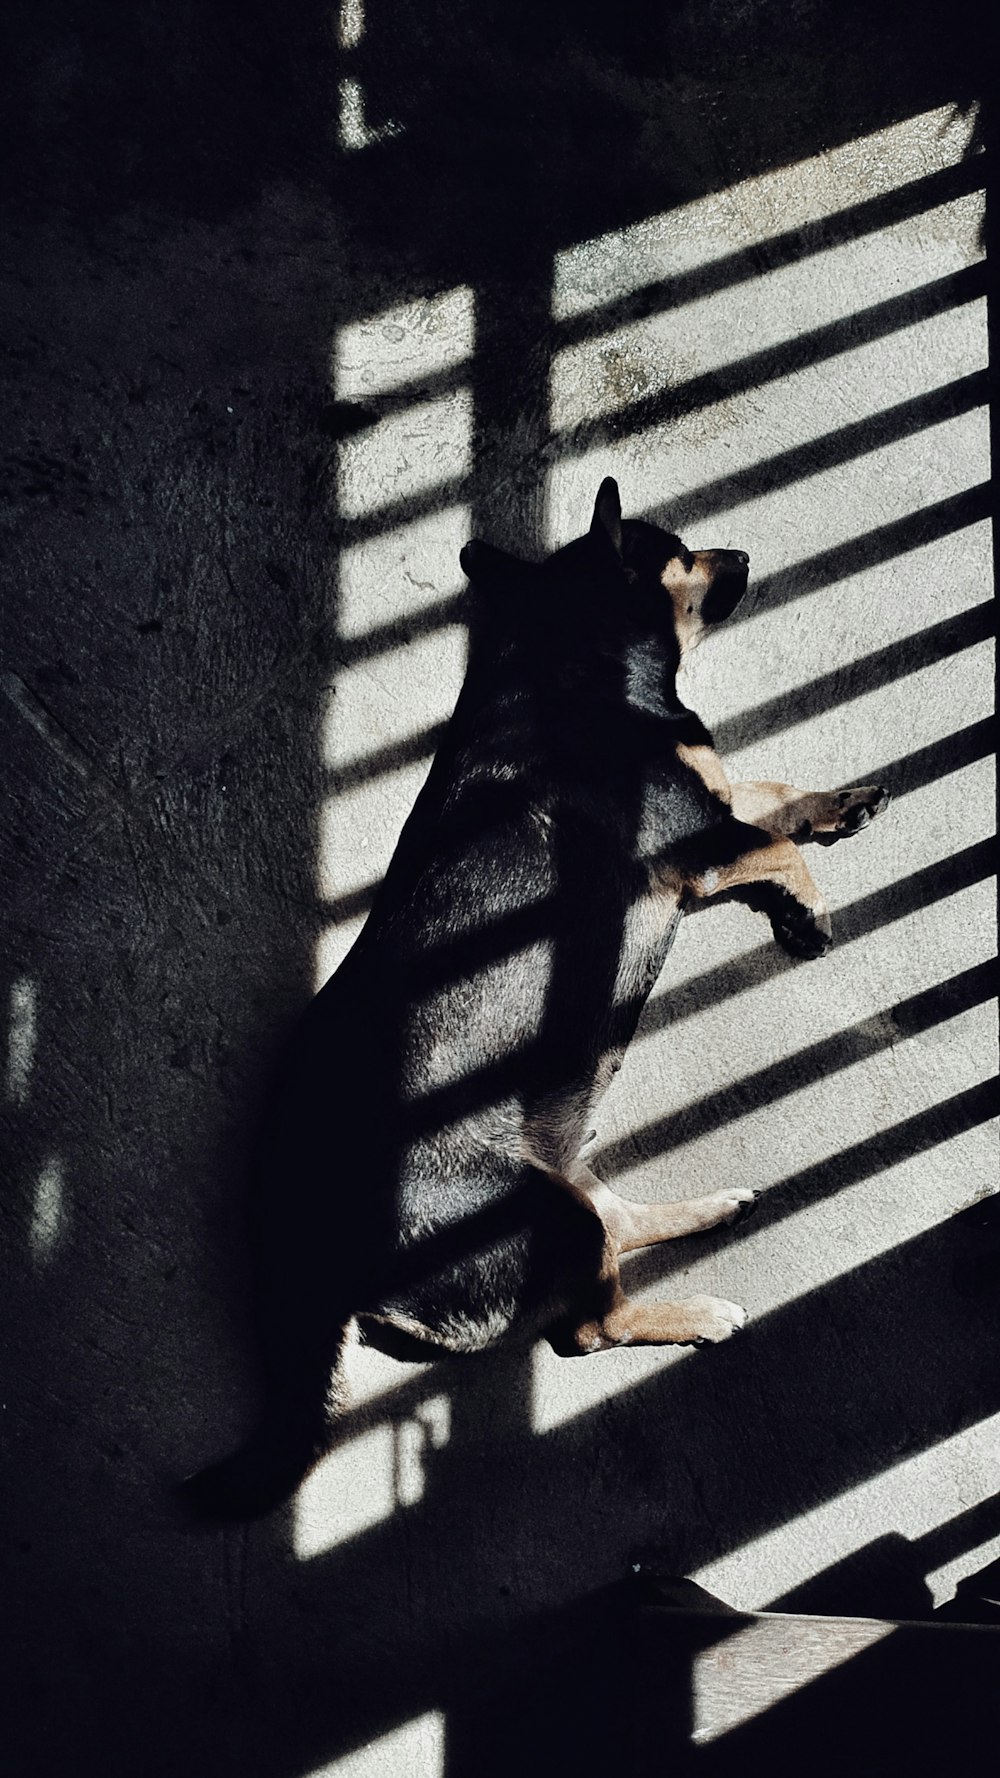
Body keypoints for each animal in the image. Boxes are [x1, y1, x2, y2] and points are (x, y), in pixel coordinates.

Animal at [186, 483, 886, 1514]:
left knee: (616, 1228)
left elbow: (773, 791)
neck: (582, 653)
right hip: (541, 1218)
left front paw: (844, 802)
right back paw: (699, 1312)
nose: (744, 556)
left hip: (559, 1190)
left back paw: (709, 1212)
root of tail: (308, 1247)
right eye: (680, 553)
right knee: (589, 1328)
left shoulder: (712, 811)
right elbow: (772, 839)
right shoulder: (695, 848)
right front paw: (809, 909)